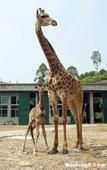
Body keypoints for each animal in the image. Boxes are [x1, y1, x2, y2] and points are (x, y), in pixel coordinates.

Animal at [34, 8, 83, 154]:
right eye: (44, 16)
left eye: (48, 14)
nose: (54, 22)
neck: (53, 67)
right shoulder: (52, 94)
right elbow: (56, 119)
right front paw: (54, 148)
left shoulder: (63, 94)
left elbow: (64, 119)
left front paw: (64, 148)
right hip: (71, 101)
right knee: (76, 118)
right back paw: (76, 144)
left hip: (78, 97)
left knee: (80, 117)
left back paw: (81, 145)